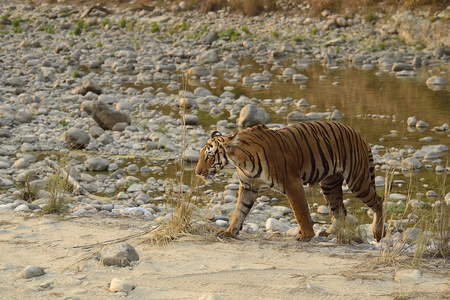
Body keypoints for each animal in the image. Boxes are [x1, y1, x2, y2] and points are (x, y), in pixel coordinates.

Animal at [195, 119, 384, 241]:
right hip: (329, 185)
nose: (197, 172)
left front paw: (306, 235)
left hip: (357, 180)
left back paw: (378, 233)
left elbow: (300, 211)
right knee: (340, 211)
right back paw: (329, 233)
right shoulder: (248, 186)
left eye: (209, 156)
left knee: (378, 201)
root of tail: (358, 133)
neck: (240, 161)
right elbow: (239, 212)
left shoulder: (292, 182)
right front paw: (229, 232)